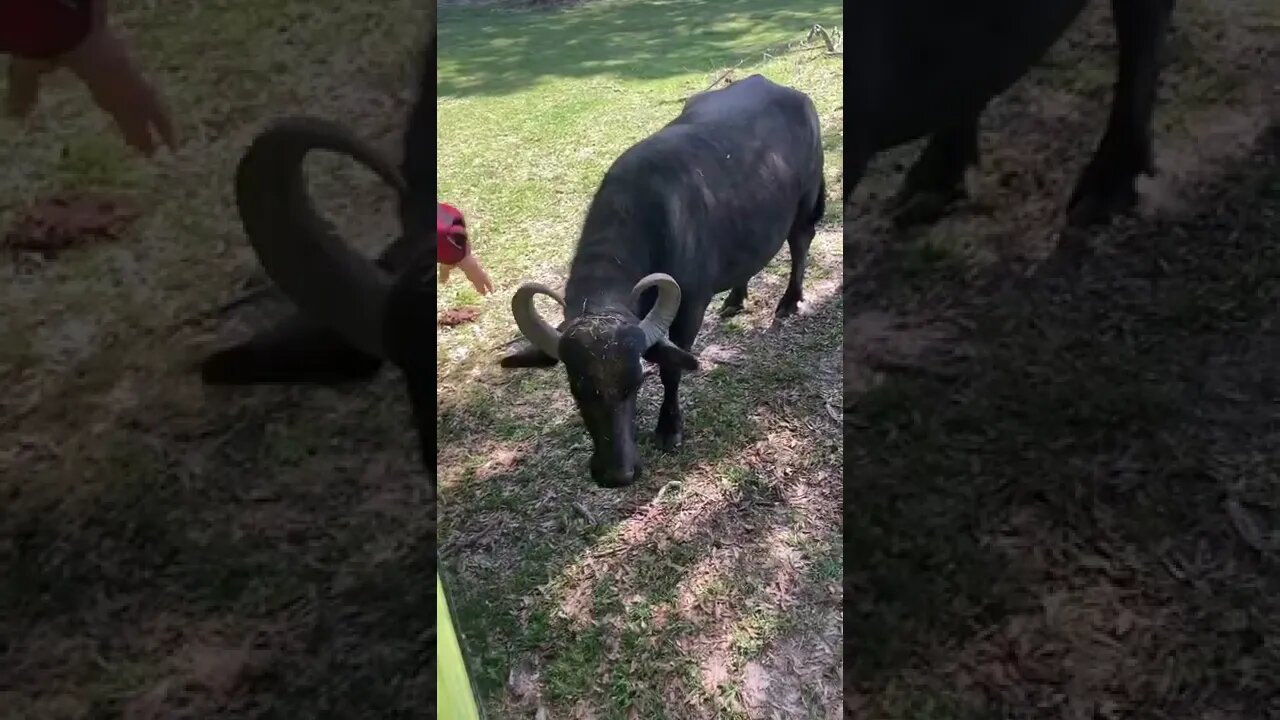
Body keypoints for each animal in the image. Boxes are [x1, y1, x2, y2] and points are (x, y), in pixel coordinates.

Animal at [494, 73, 824, 484]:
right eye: (576, 387)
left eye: (634, 382)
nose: (616, 474)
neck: (652, 219)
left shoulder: (691, 307)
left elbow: (672, 367)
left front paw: (669, 428)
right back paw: (735, 299)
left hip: (806, 202)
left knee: (801, 242)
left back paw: (789, 301)